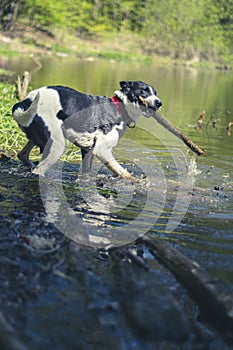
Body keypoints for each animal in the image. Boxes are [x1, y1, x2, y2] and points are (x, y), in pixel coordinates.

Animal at [12, 79, 162, 178]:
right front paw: (138, 182)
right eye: (144, 90)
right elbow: (123, 172)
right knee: (38, 170)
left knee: (23, 155)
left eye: (155, 92)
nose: (159, 103)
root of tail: (26, 101)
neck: (119, 107)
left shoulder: (88, 150)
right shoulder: (102, 151)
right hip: (55, 146)